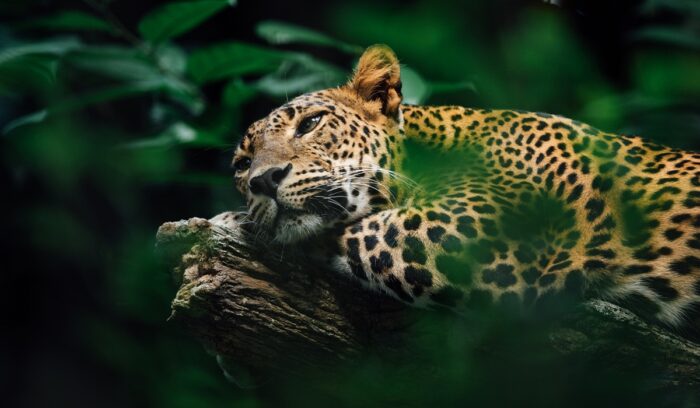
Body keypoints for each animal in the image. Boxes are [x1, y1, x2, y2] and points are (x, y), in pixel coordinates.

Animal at [217, 45, 700, 338]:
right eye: (242, 165)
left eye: (311, 123)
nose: (263, 181)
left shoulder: (470, 235)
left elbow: (348, 231)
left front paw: (232, 222)